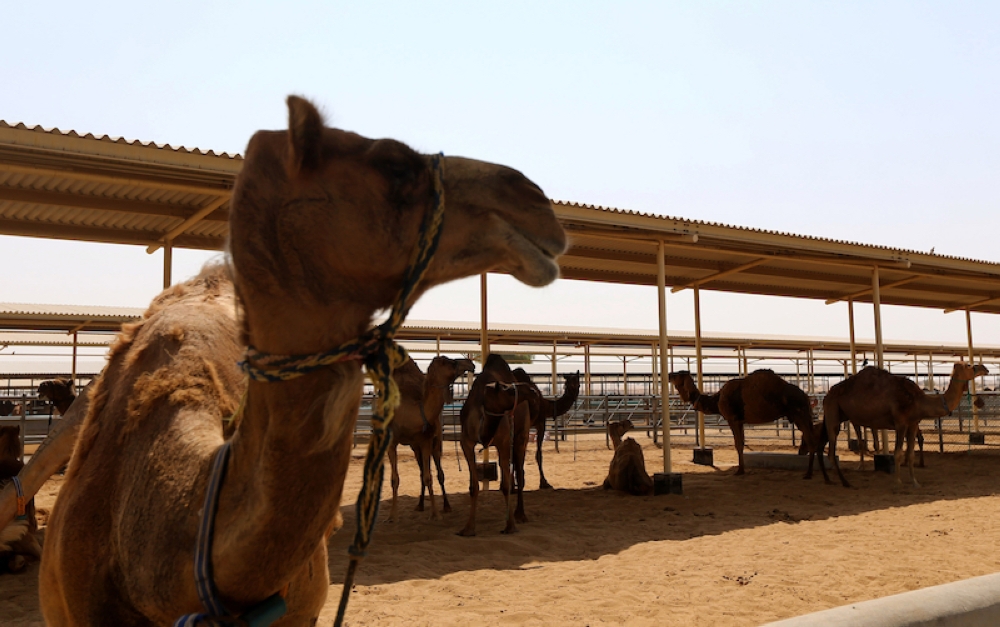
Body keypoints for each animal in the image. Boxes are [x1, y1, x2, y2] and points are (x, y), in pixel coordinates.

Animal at [388, 355, 475, 522]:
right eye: (450, 362)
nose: (470, 363)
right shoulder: (392, 442)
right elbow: (395, 479)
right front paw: (392, 516)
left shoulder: (426, 442)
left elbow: (430, 478)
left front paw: (435, 513)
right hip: (415, 448)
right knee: (422, 472)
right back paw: (420, 504)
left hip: (436, 442)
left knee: (439, 474)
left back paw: (446, 506)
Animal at [458, 354, 541, 536]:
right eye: (505, 388)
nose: (532, 391)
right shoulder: (466, 442)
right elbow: (474, 486)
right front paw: (468, 528)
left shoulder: (504, 442)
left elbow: (506, 485)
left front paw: (510, 526)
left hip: (521, 435)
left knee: (520, 473)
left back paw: (520, 514)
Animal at [668, 369, 829, 481]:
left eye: (678, 374)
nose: (669, 374)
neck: (717, 399)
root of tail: (806, 396)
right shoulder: (740, 421)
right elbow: (742, 444)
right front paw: (742, 469)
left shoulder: (732, 419)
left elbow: (738, 444)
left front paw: (739, 471)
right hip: (800, 416)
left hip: (799, 414)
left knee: (811, 439)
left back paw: (808, 474)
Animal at [823, 362, 988, 488]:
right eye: (968, 365)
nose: (984, 367)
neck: (918, 401)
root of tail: (827, 394)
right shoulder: (900, 423)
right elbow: (897, 453)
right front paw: (898, 482)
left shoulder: (913, 424)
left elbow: (910, 453)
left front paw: (915, 482)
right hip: (832, 412)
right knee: (831, 450)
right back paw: (845, 482)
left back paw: (831, 480)